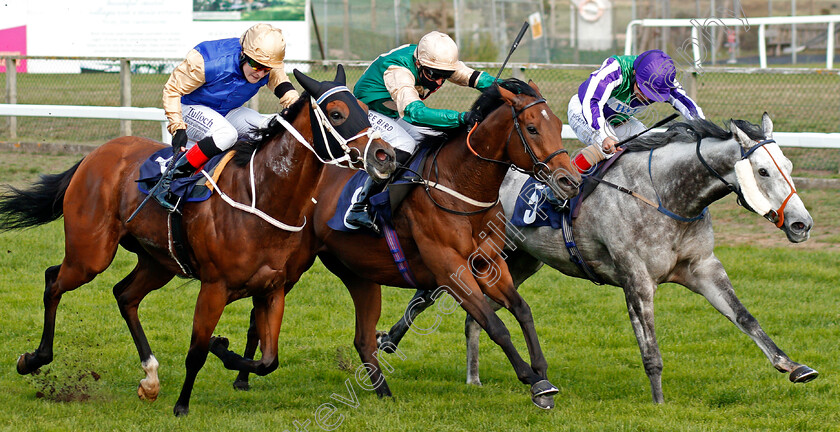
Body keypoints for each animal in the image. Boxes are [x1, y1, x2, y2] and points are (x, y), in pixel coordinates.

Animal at [0, 66, 398, 416]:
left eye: (366, 111)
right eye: (337, 112)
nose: (385, 156)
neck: (262, 195)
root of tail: (96, 154)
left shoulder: (272, 289)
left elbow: (268, 359)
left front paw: (226, 352)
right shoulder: (214, 287)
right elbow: (197, 351)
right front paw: (182, 405)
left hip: (158, 261)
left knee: (124, 296)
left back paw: (150, 378)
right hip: (91, 253)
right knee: (54, 280)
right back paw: (33, 359)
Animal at [220, 78, 580, 408]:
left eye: (557, 124)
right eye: (532, 128)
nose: (569, 181)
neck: (460, 187)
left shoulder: (488, 263)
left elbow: (522, 310)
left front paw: (541, 372)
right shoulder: (451, 271)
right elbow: (495, 324)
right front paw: (534, 382)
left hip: (351, 269)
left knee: (358, 337)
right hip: (292, 265)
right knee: (257, 318)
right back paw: (241, 377)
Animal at [378, 113, 816, 404]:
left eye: (788, 165)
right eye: (762, 171)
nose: (801, 224)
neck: (665, 195)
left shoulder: (703, 268)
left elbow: (745, 317)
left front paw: (794, 366)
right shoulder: (635, 278)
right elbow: (650, 348)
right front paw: (658, 402)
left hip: (520, 262)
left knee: (473, 316)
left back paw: (473, 379)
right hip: (479, 255)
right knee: (429, 295)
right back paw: (389, 339)